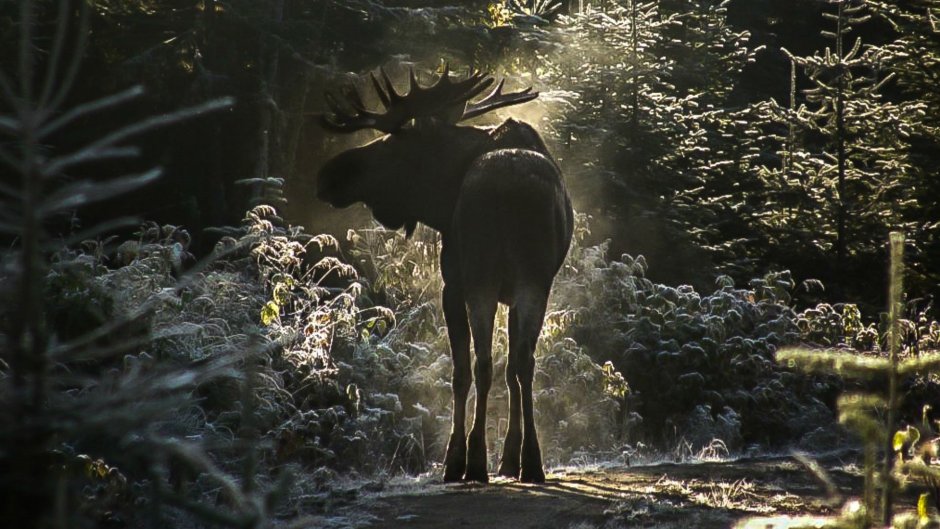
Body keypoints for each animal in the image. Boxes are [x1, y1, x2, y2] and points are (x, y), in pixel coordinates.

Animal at [318, 66, 572, 482]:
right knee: (523, 363)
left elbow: (460, 372)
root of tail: (507, 190)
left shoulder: (452, 283)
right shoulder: (517, 292)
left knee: (481, 363)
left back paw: (473, 462)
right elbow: (513, 369)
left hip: (481, 276)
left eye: (390, 143)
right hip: (533, 280)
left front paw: (458, 457)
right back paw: (531, 462)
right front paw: (510, 457)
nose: (327, 175)